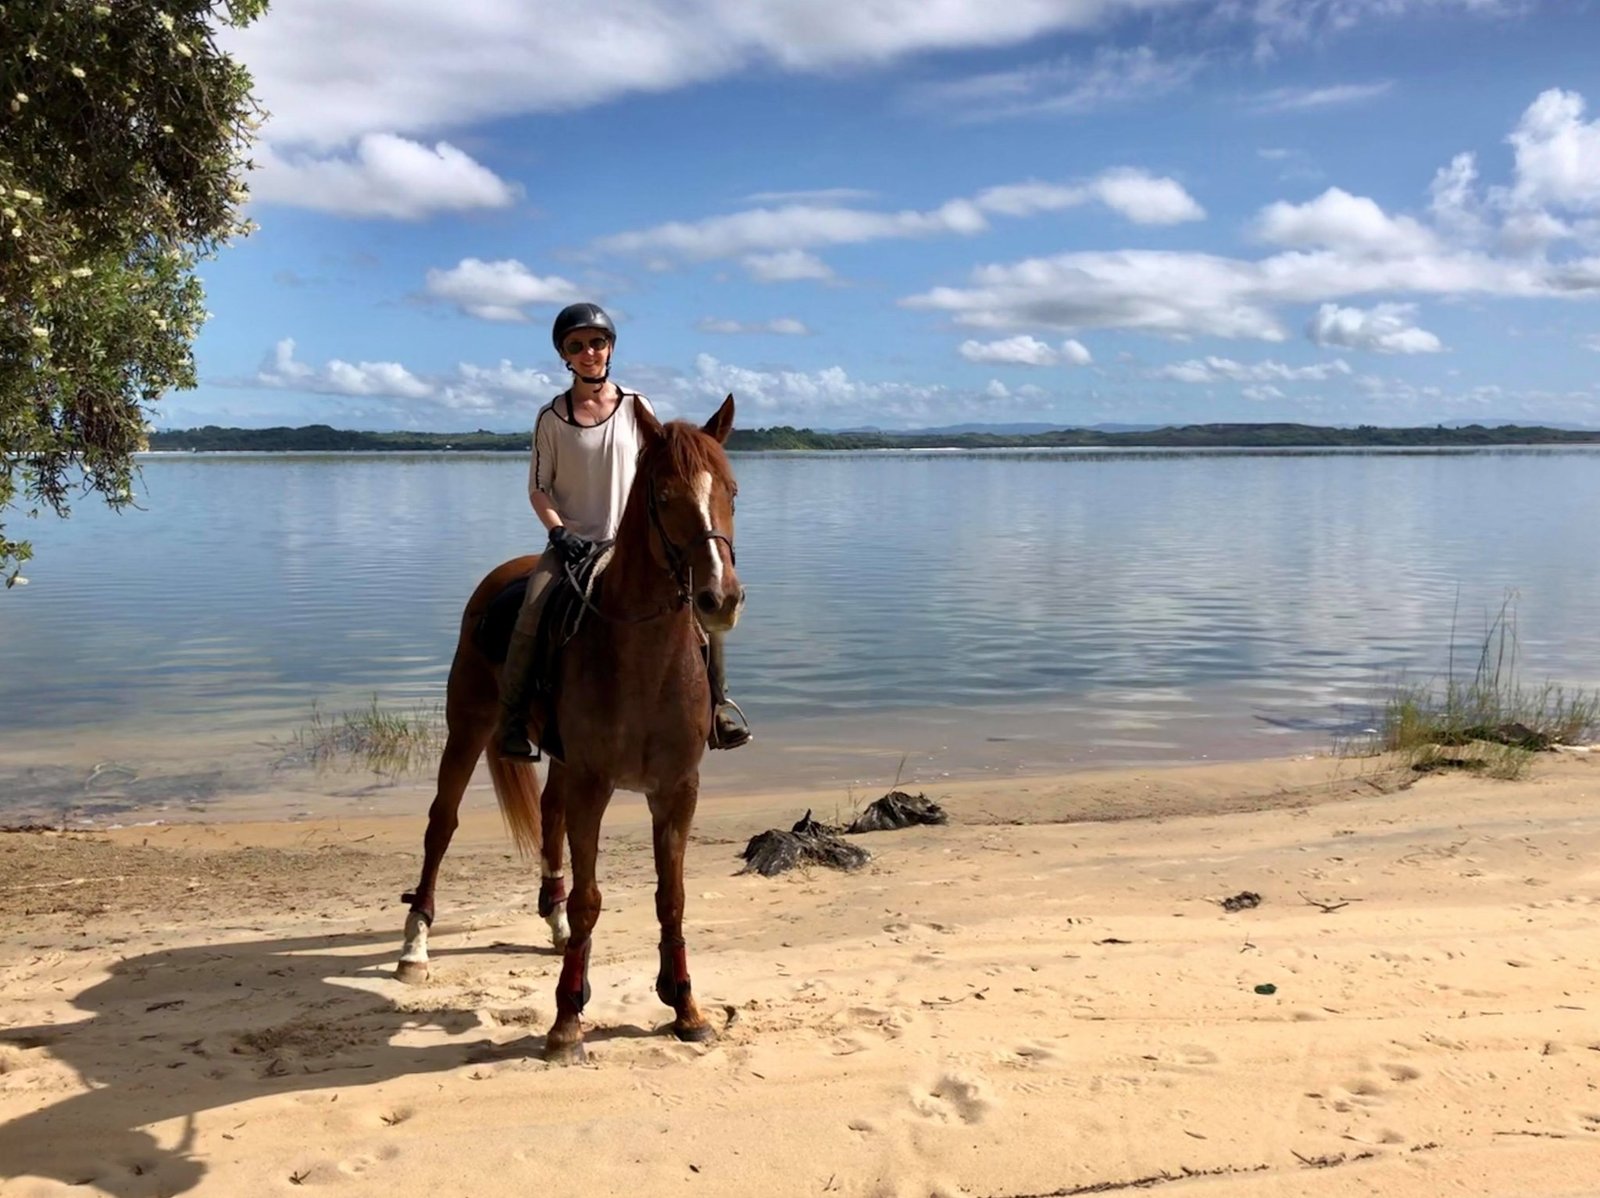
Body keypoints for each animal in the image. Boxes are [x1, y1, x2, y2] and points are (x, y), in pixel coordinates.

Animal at [395, 394, 743, 1063]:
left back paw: (550, 921)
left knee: (548, 816)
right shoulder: (593, 784)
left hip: (557, 760)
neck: (644, 657)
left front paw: (685, 1007)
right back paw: (414, 945)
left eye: (732, 490)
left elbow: (672, 898)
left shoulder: (676, 791)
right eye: (665, 495)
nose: (721, 599)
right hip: (467, 730)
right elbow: (590, 901)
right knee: (440, 826)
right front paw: (566, 1021)